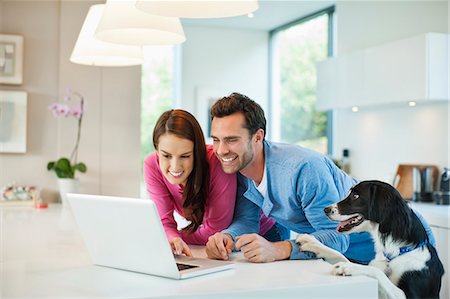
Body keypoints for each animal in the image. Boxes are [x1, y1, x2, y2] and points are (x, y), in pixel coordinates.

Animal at [298, 180, 444, 299]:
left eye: (355, 196)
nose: (325, 209)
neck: (396, 253)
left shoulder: (411, 295)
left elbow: (377, 272)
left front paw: (348, 267)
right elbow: (337, 254)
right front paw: (311, 242)